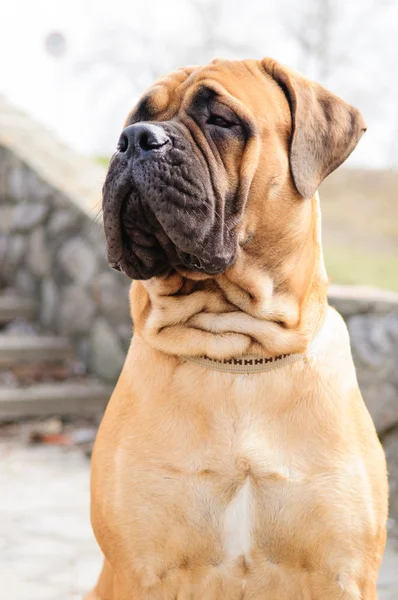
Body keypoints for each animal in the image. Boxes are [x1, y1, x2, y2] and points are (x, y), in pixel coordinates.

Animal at [85, 57, 388, 600]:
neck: (236, 348)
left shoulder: (342, 573)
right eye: (137, 117)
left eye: (222, 120)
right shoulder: (142, 570)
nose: (135, 139)